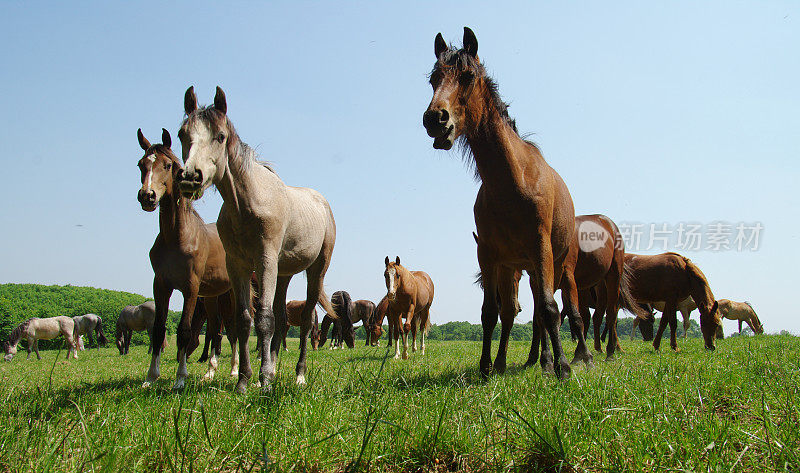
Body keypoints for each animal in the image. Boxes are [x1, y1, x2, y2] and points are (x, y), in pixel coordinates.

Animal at [134, 126, 239, 388]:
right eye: (141, 164)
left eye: (168, 165)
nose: (147, 196)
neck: (177, 238)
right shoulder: (161, 285)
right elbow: (159, 330)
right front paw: (151, 377)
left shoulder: (190, 287)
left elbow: (184, 330)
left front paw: (180, 379)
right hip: (214, 296)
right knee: (217, 329)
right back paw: (210, 372)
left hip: (231, 292)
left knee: (234, 328)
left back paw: (235, 370)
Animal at [177, 86, 340, 392]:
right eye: (182, 133)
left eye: (220, 136)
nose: (191, 177)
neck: (247, 203)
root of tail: (322, 203)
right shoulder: (238, 266)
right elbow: (244, 321)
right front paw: (244, 380)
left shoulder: (264, 261)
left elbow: (264, 319)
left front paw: (263, 381)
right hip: (283, 273)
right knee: (282, 316)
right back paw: (275, 369)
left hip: (316, 271)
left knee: (305, 318)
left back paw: (299, 375)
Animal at [424, 28, 580, 376]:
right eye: (433, 79)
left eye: (468, 76)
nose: (435, 118)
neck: (513, 182)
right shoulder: (490, 255)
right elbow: (491, 313)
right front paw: (487, 367)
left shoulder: (541, 248)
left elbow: (550, 308)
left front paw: (563, 368)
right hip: (524, 269)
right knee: (522, 313)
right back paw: (534, 360)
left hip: (558, 264)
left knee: (556, 310)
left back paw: (571, 358)